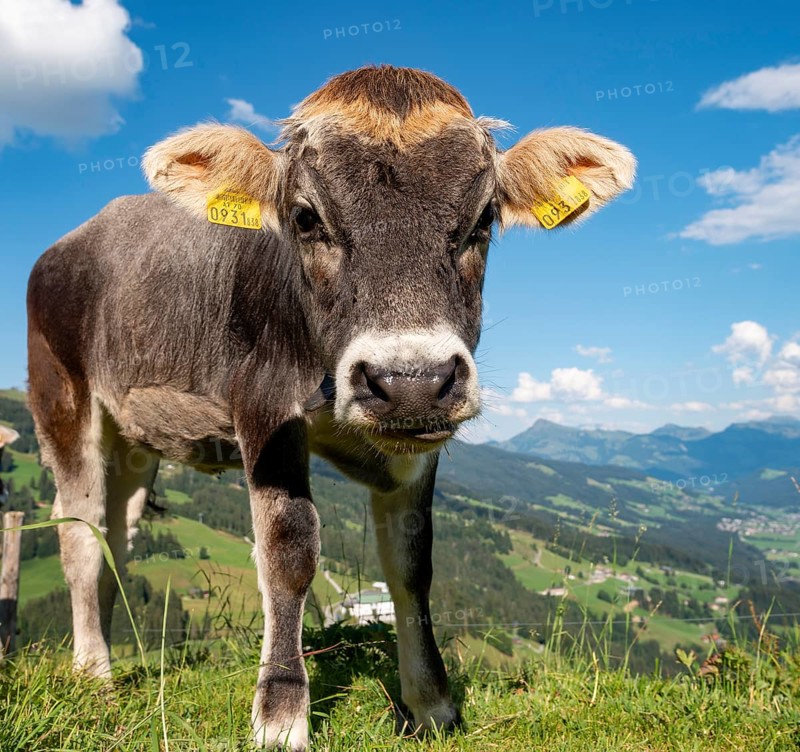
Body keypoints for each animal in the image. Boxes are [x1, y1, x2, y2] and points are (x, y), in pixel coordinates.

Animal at [26, 65, 635, 749]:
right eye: (305, 217)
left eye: (483, 220)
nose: (410, 380)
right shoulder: (264, 407)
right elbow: (289, 552)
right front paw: (281, 713)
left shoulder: (421, 442)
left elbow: (412, 562)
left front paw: (432, 704)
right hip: (61, 396)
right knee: (79, 534)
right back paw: (94, 675)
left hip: (134, 438)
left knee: (117, 537)